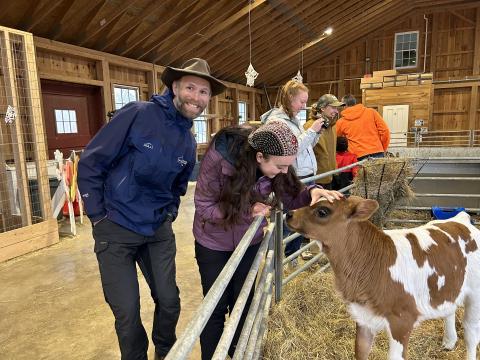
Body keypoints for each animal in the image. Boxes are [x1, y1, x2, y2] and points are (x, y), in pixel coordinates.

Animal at [284, 197, 480, 360]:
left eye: (323, 211)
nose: (289, 214)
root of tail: (460, 220)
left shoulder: (402, 322)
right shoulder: (363, 317)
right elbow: (361, 351)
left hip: (475, 296)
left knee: (471, 334)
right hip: (448, 286)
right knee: (450, 308)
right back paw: (449, 341)